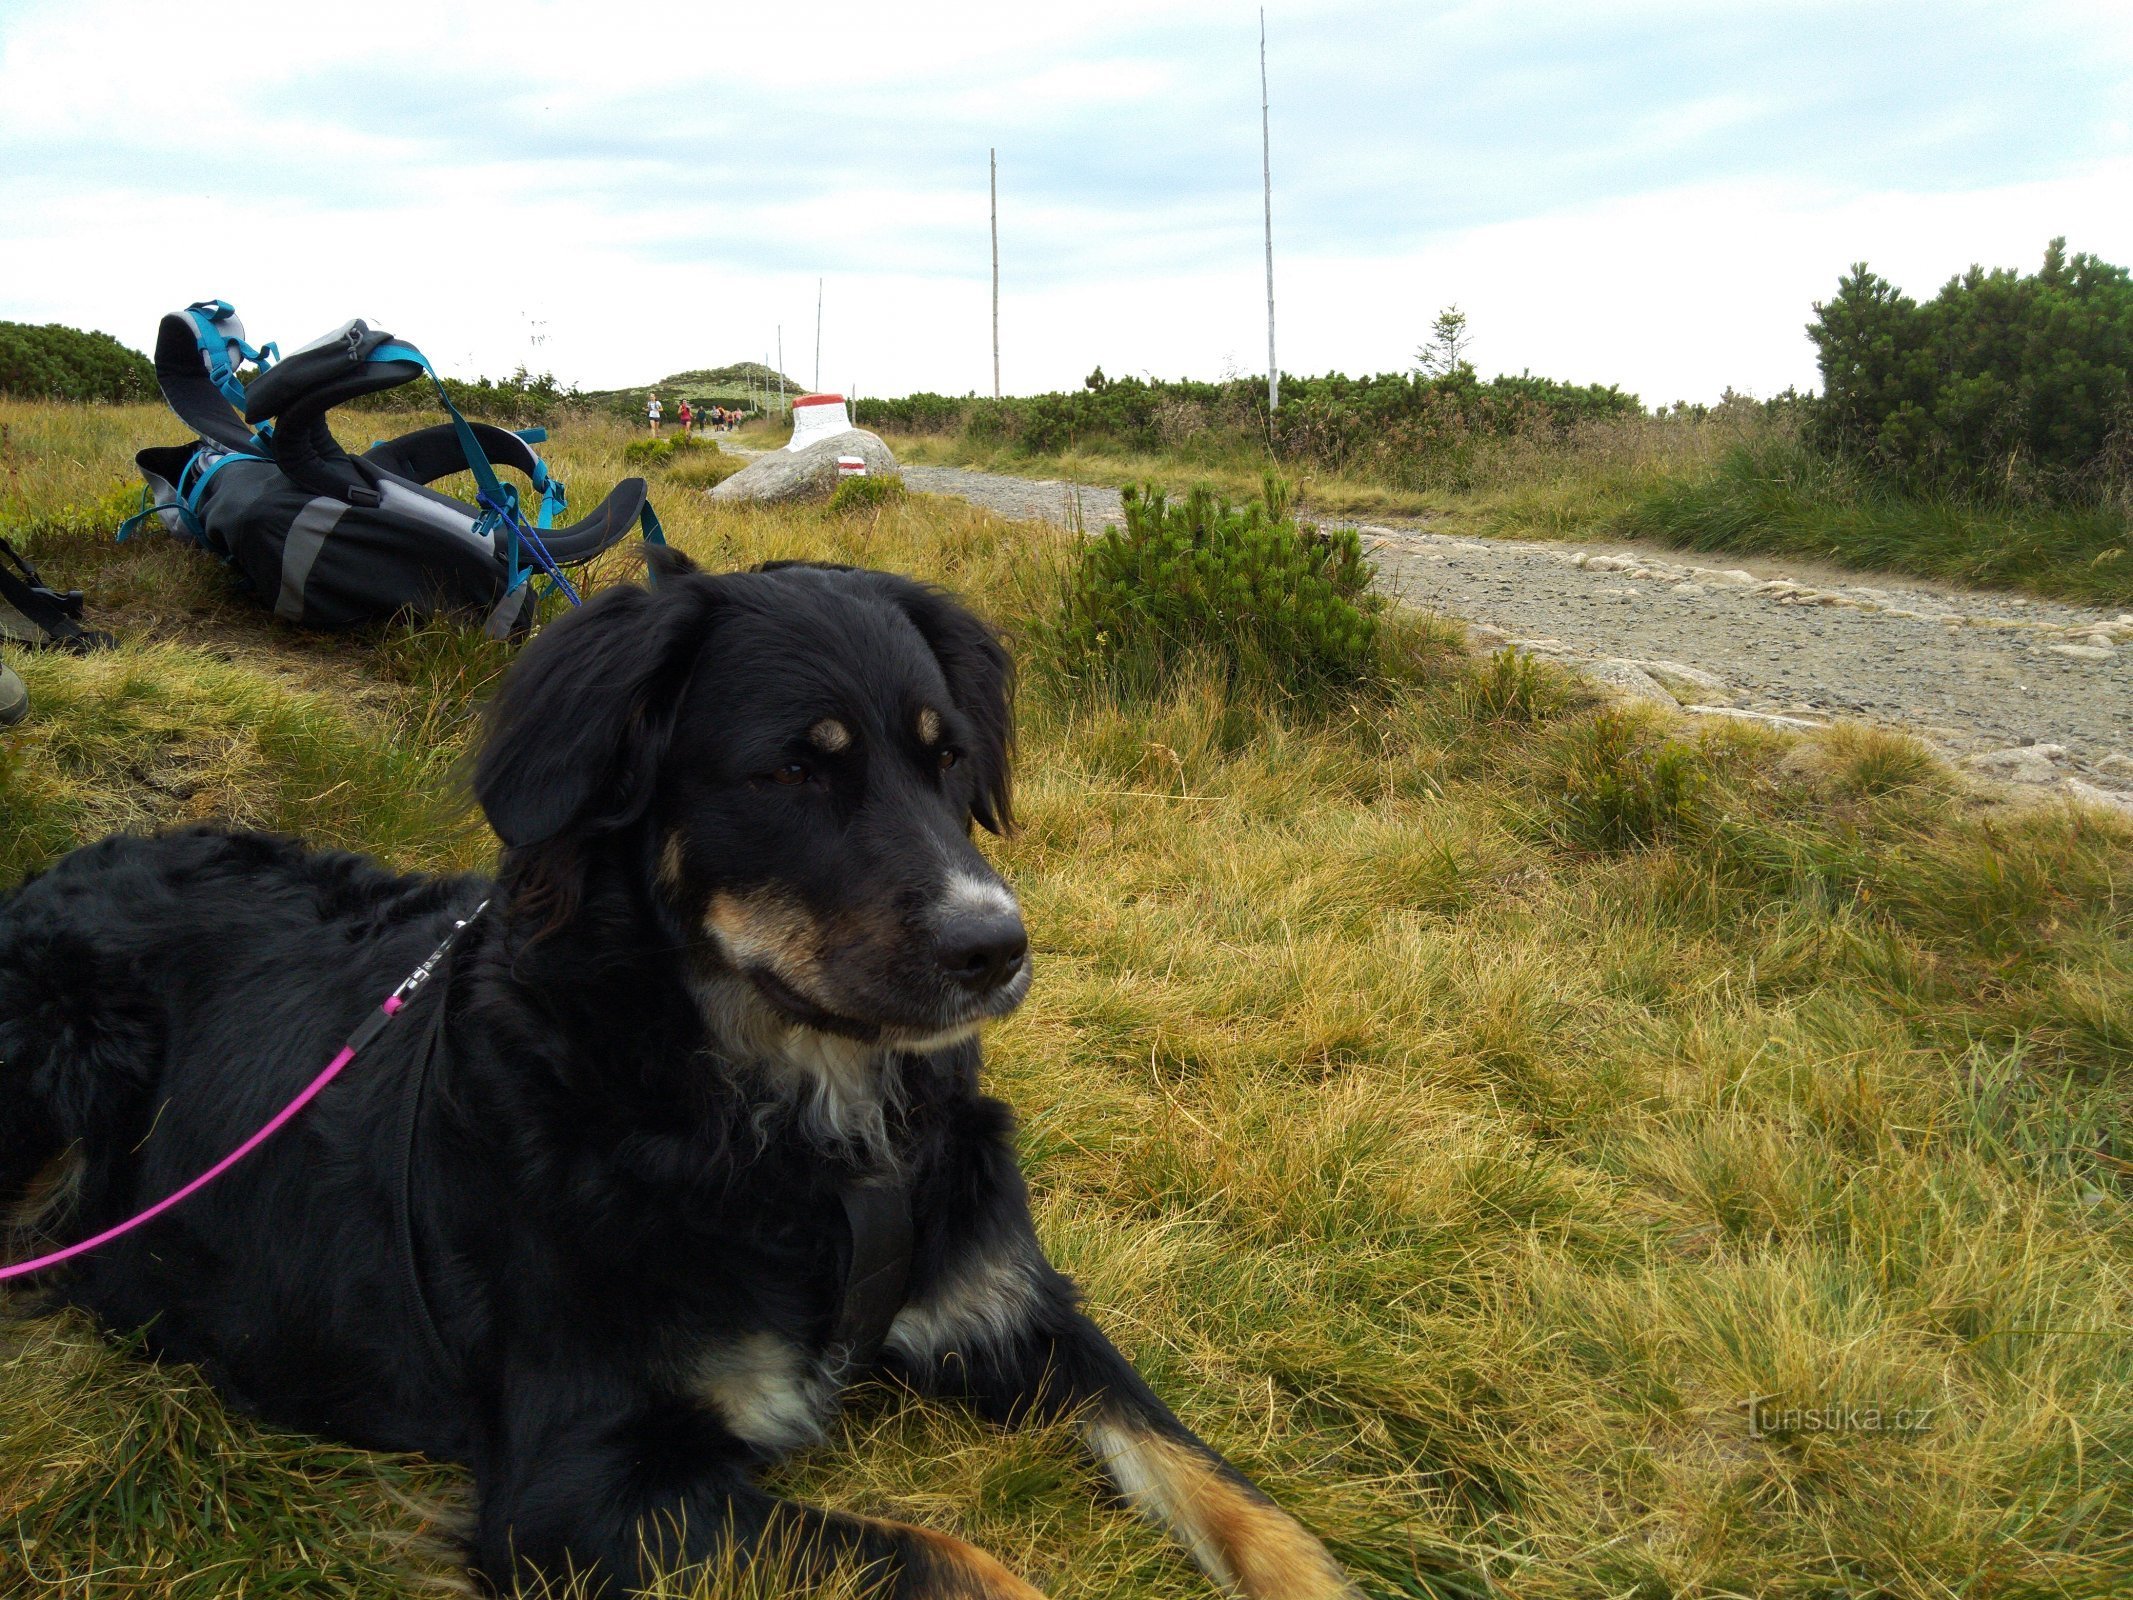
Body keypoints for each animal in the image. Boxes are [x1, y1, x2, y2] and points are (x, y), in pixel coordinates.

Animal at [0, 554, 1356, 1600]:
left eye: (946, 758)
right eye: (793, 770)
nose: (997, 950)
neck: (802, 1125)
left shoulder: (1019, 1311)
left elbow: (1224, 1483)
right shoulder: (587, 1484)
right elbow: (956, 1558)